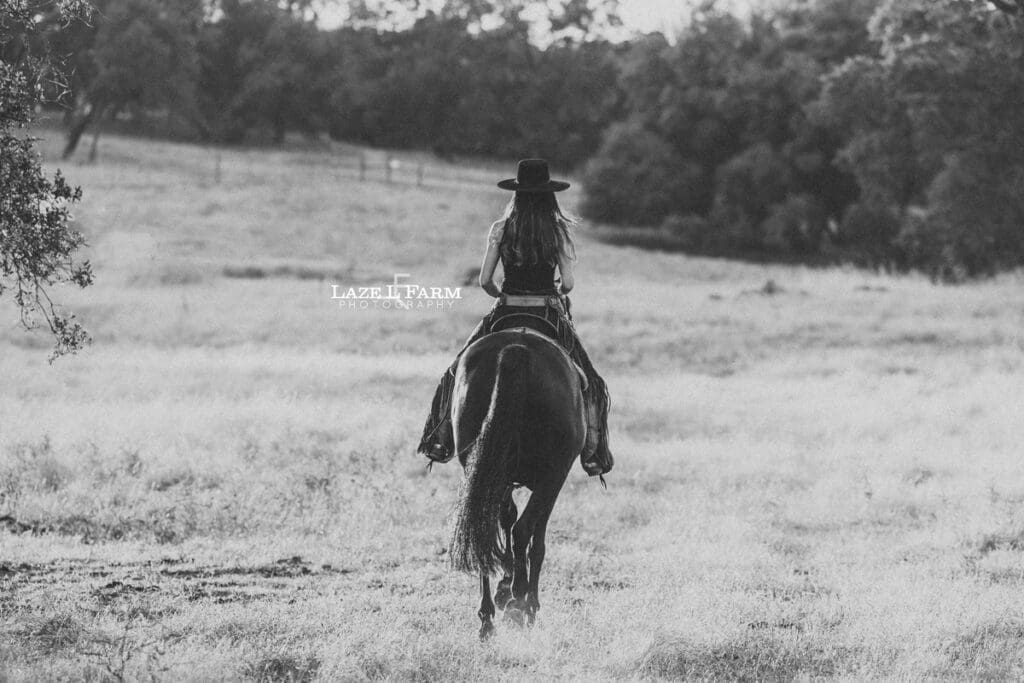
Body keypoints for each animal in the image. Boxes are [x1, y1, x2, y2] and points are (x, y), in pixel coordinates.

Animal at [448, 326, 586, 640]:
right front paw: (523, 600)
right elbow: (536, 541)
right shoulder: (553, 480)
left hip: (482, 467)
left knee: (485, 532)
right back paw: (520, 604)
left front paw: (504, 585)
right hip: (551, 475)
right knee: (523, 530)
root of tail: (516, 349)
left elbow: (505, 521)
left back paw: (488, 617)